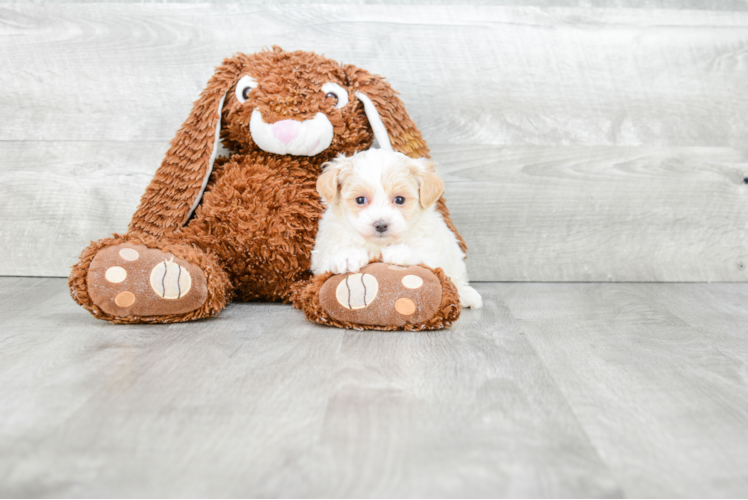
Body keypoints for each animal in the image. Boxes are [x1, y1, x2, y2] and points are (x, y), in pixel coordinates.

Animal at [312, 148, 482, 308]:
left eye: (399, 199)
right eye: (360, 200)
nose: (381, 224)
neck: (379, 245)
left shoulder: (433, 251)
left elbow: (425, 259)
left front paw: (399, 252)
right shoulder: (324, 255)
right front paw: (348, 256)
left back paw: (467, 295)